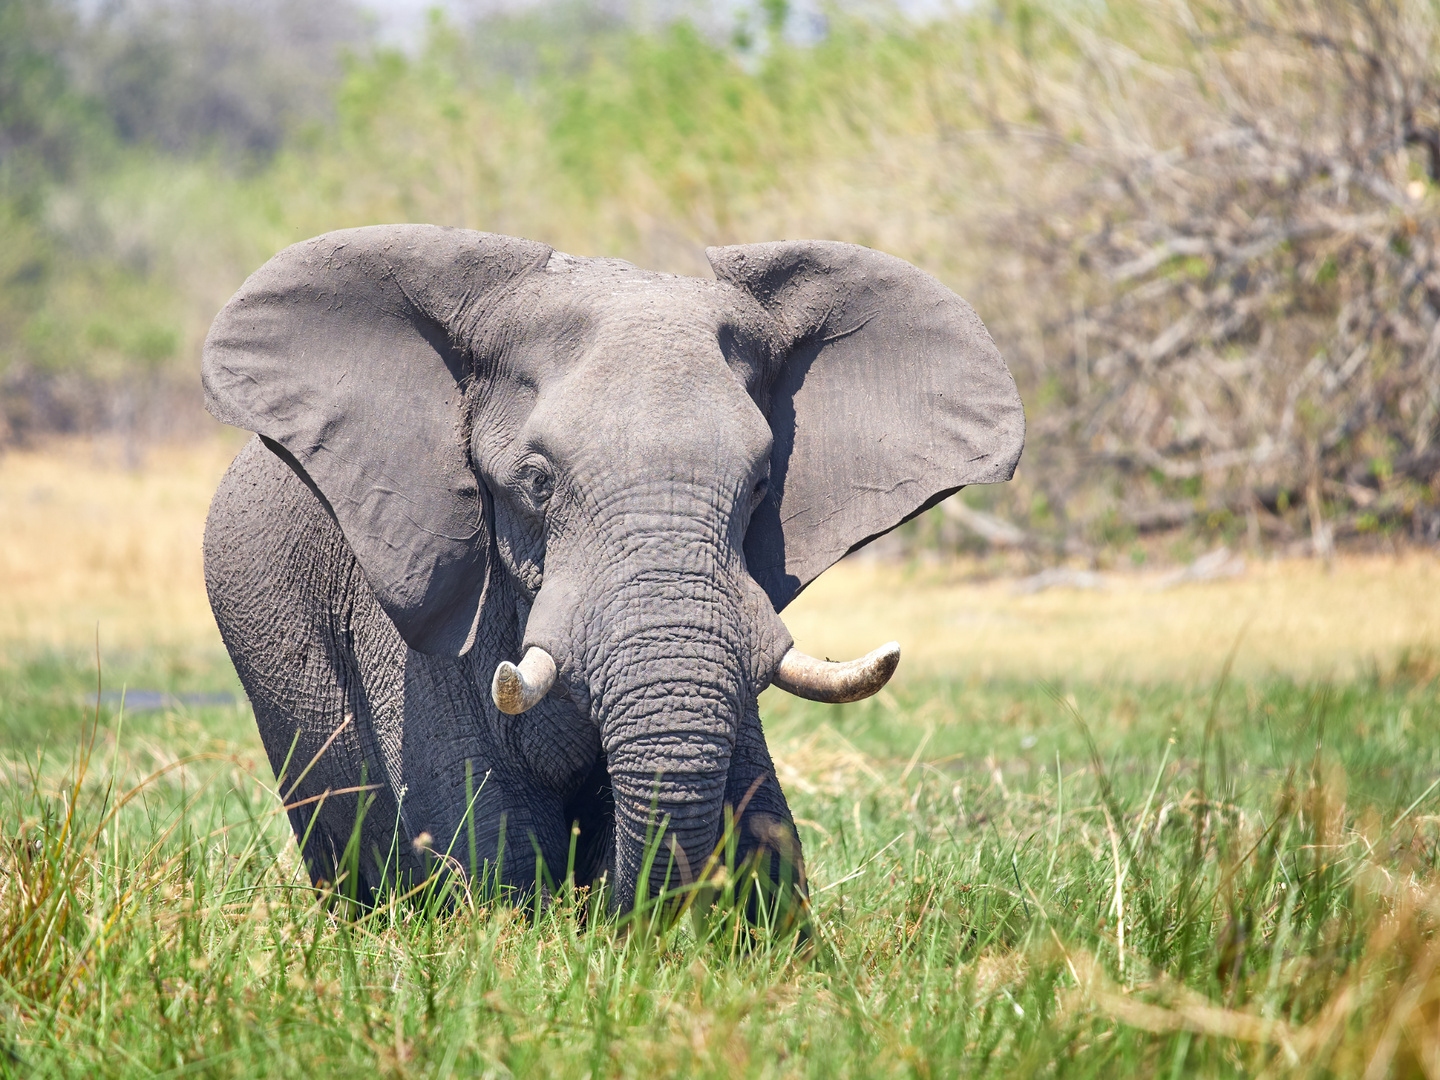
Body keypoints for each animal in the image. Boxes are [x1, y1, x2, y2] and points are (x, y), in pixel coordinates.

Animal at [203, 224, 1025, 915]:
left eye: (762, 485)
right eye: (536, 482)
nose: (599, 906)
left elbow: (762, 828)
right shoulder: (422, 592)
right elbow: (492, 842)